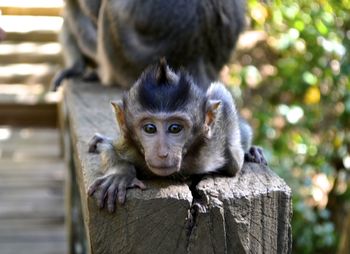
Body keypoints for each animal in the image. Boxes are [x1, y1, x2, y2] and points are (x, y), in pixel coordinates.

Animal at [87, 60, 266, 212]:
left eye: (175, 128)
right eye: (150, 128)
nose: (162, 153)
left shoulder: (214, 144)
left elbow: (235, 163)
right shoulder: (128, 145)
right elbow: (109, 148)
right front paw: (119, 175)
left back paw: (253, 151)